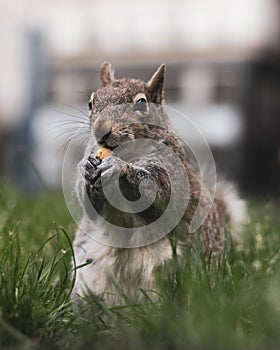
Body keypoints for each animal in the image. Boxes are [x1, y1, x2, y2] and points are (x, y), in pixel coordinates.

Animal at [71, 63, 246, 304]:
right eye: (91, 102)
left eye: (141, 103)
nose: (101, 130)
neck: (129, 153)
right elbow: (91, 209)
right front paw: (85, 167)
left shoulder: (175, 172)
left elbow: (160, 193)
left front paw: (117, 167)